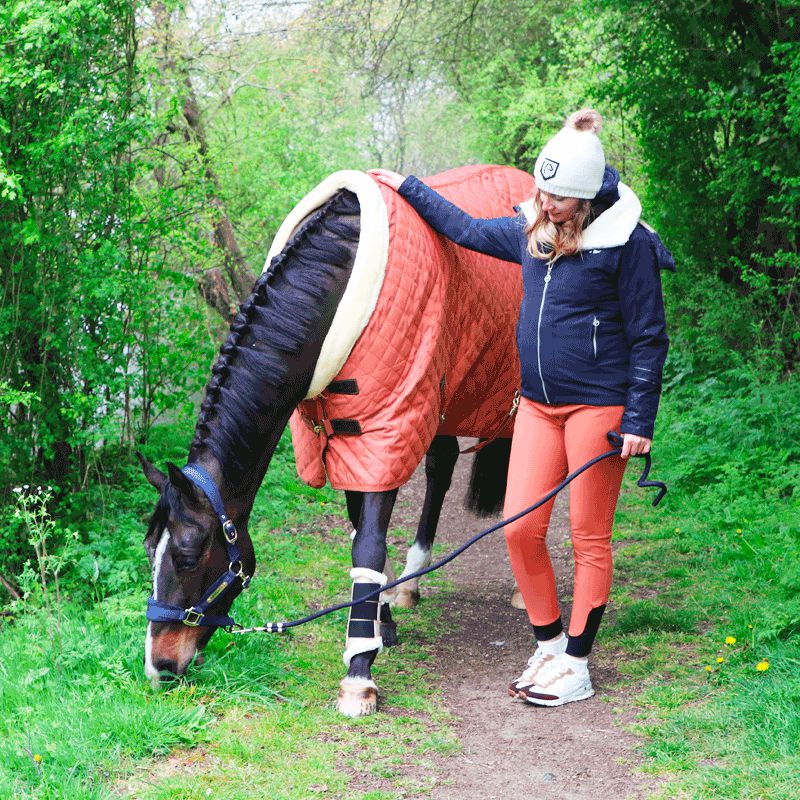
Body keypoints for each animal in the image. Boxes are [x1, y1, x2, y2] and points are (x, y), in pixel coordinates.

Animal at [141, 166, 536, 716]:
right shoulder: (350, 435)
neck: (337, 286)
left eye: (187, 556)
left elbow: (367, 544)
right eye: (148, 550)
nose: (158, 665)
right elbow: (358, 535)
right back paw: (412, 581)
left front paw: (359, 672)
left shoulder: (386, 422)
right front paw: (380, 623)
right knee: (440, 467)